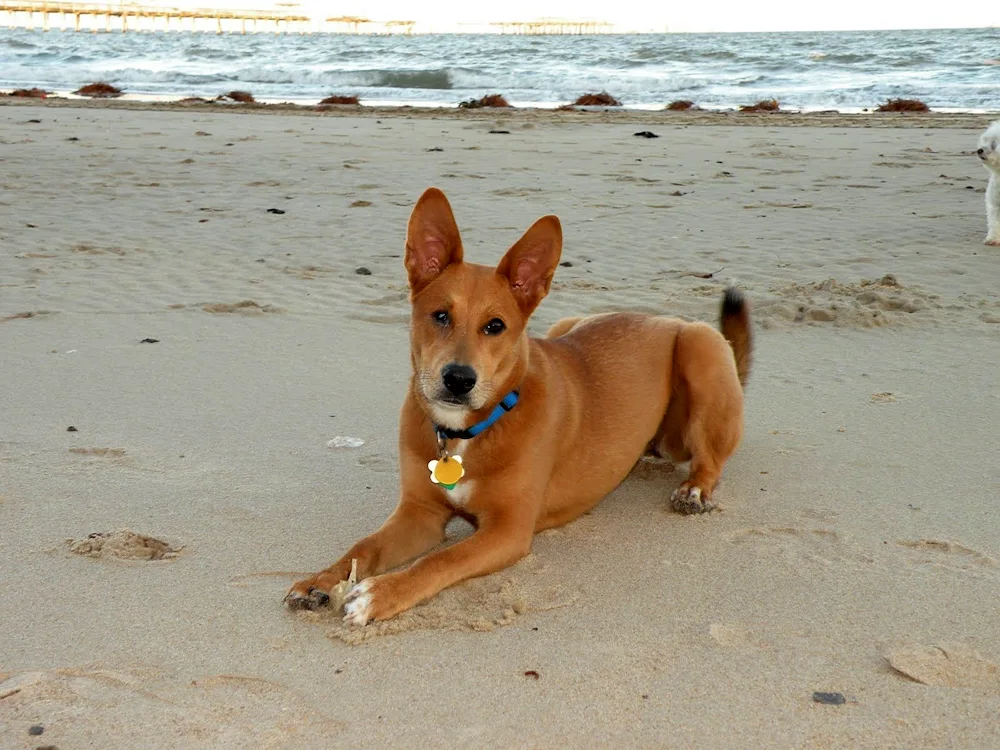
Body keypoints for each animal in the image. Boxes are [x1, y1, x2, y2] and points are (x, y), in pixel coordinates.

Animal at [282, 189, 752, 628]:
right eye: (440, 315)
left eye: (496, 326)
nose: (458, 379)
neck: (464, 434)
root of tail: (660, 318)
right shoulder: (421, 513)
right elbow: (363, 546)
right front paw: (321, 580)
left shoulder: (507, 530)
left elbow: (440, 560)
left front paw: (379, 594)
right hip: (568, 325)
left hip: (700, 347)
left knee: (711, 457)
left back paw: (694, 489)